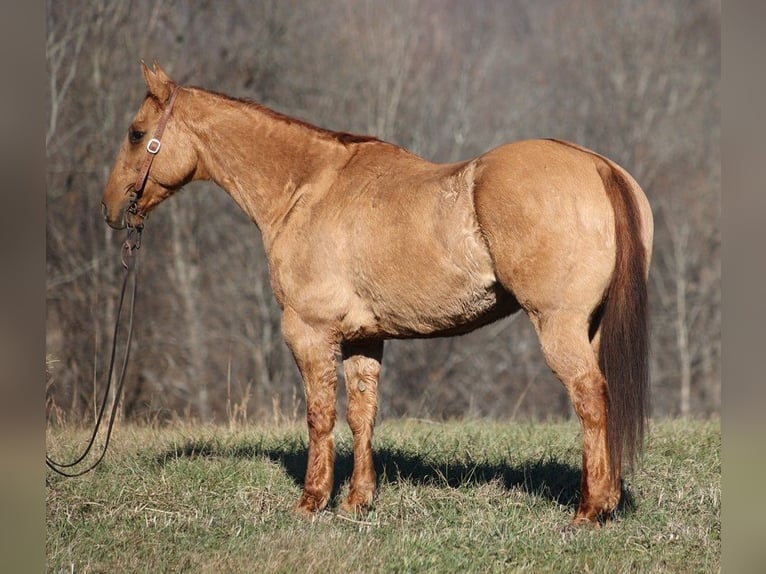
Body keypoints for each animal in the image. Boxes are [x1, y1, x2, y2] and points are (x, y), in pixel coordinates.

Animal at [103, 62, 656, 528]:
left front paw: (311, 502)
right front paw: (356, 501)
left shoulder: (310, 332)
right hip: (590, 326)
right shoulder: (363, 338)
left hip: (558, 326)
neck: (308, 189)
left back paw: (589, 511)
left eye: (136, 133)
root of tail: (598, 167)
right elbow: (361, 414)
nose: (110, 207)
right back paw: (605, 500)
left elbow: (320, 415)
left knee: (590, 397)